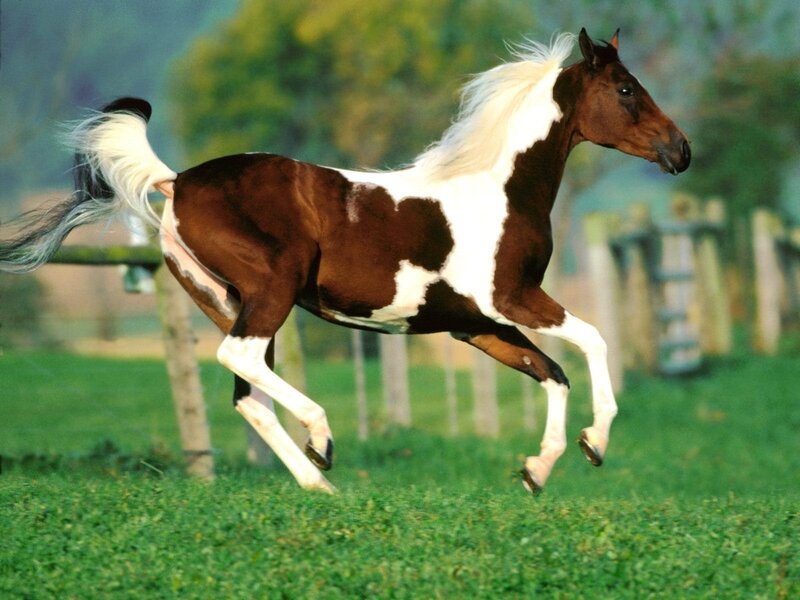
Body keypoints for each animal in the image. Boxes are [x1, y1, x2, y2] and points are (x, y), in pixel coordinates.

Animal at [0, 29, 690, 494]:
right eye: (626, 89)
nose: (681, 150)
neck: (500, 189)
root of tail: (179, 181)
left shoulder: (477, 326)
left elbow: (552, 373)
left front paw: (536, 470)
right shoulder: (513, 300)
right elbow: (593, 341)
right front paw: (595, 444)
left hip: (228, 300)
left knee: (247, 391)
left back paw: (319, 483)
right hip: (272, 289)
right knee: (241, 361)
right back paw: (322, 439)